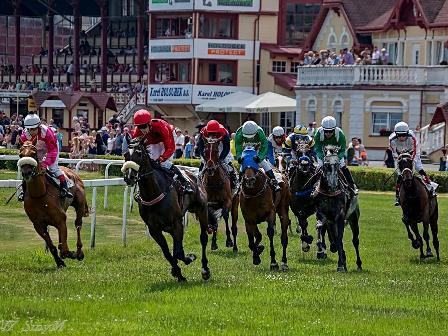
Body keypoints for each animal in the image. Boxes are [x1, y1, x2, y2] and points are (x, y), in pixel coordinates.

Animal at [122, 140, 217, 282]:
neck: (154, 192)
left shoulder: (177, 223)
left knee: (203, 238)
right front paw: (178, 273)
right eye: (125, 154)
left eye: (139, 153)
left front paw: (189, 258)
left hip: (201, 210)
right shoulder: (154, 229)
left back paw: (205, 269)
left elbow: (179, 252)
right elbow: (168, 253)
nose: (129, 177)